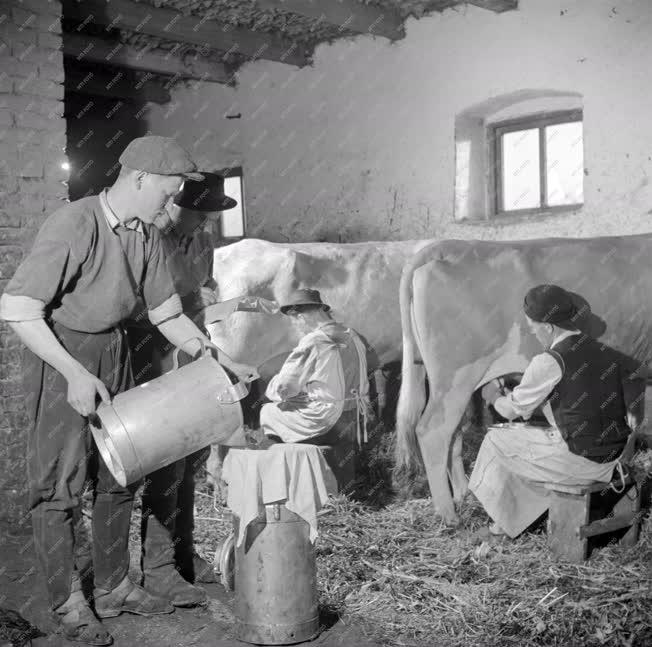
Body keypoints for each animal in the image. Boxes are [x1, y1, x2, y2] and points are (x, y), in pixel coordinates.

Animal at [394, 235, 652, 524]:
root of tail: (445, 246)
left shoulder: (634, 373)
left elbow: (633, 421)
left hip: (454, 383)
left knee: (453, 434)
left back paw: (463, 495)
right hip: (455, 378)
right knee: (433, 431)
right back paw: (449, 516)